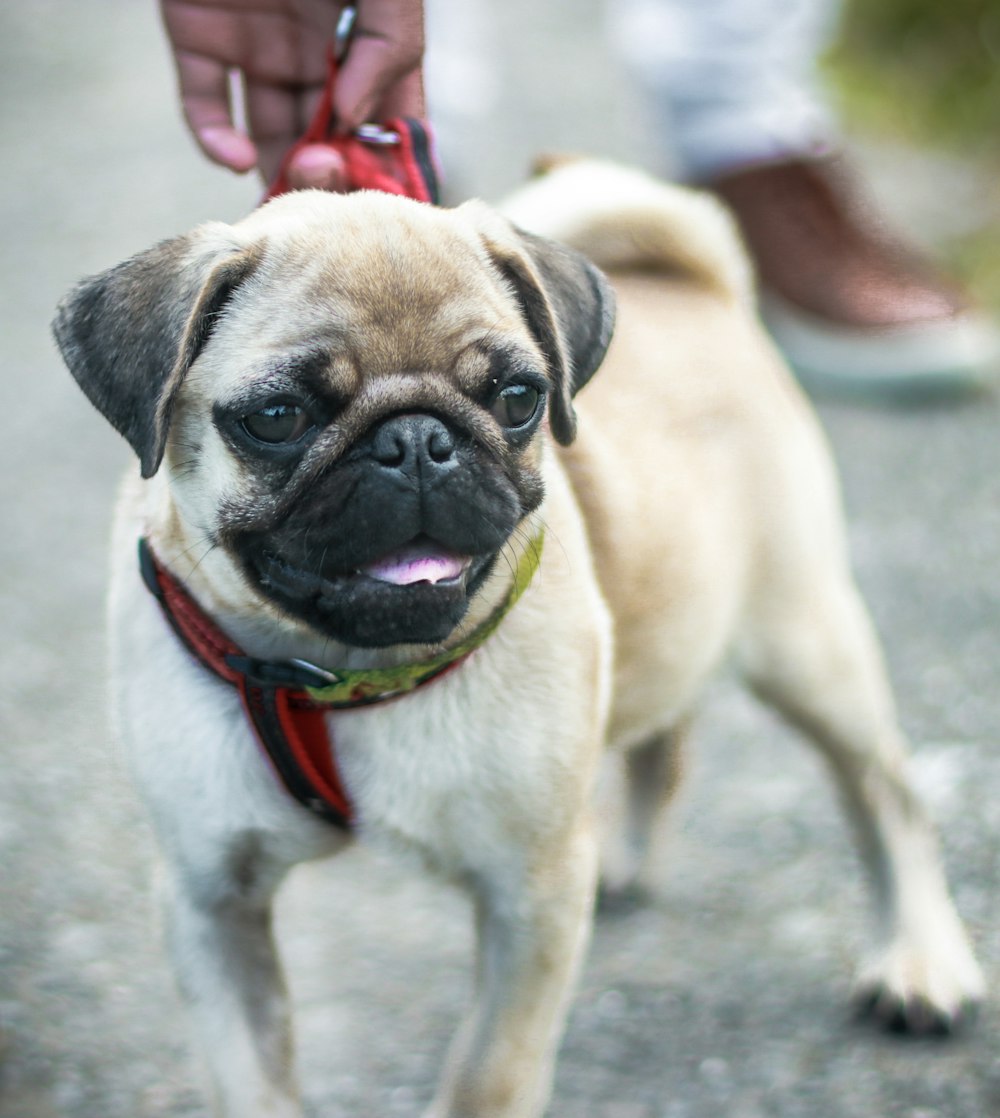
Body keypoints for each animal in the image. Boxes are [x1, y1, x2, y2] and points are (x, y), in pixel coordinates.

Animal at [50, 159, 984, 1118]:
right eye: (276, 417)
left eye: (517, 399)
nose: (415, 441)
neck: (342, 677)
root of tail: (703, 287)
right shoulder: (210, 900)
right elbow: (251, 1078)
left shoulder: (530, 898)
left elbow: (489, 1071)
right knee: (664, 735)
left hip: (806, 646)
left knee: (887, 794)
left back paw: (921, 961)